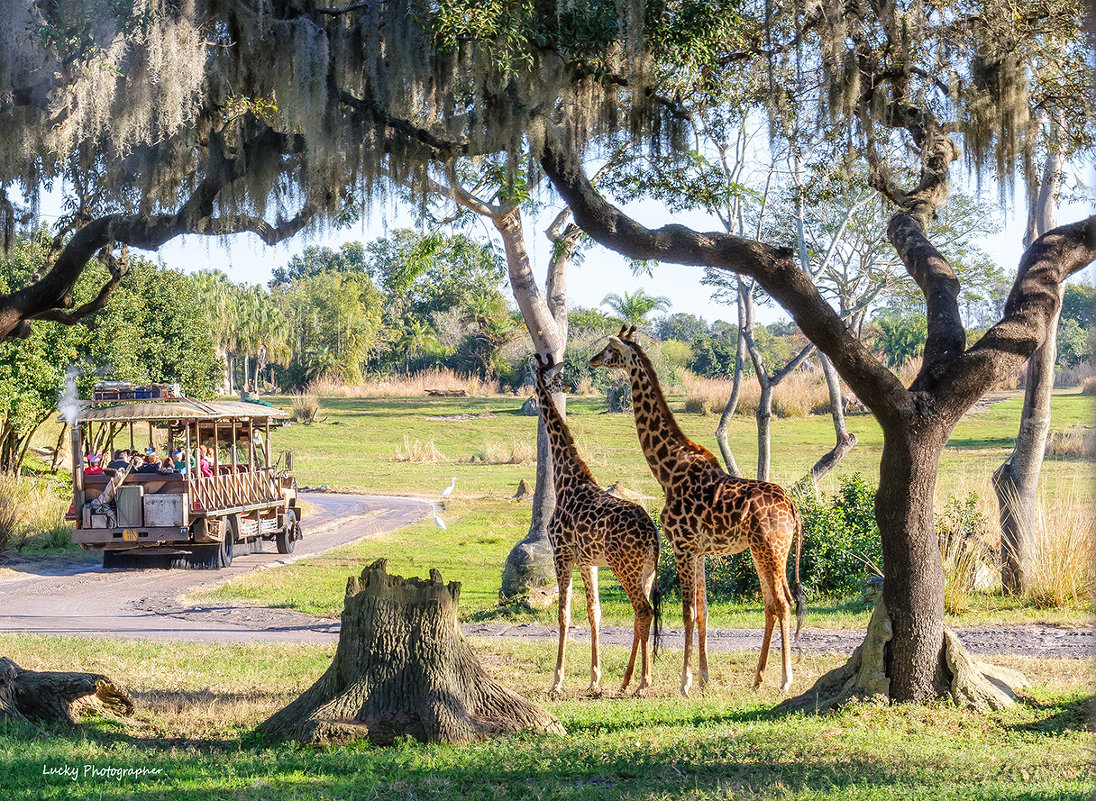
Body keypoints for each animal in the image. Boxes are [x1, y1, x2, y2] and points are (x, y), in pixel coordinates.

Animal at [530, 350, 657, 696]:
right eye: (557, 376)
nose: (566, 386)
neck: (566, 478)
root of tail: (654, 536)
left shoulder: (562, 553)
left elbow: (563, 613)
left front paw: (557, 681)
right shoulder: (588, 561)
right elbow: (594, 613)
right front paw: (595, 678)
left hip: (625, 567)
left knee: (643, 611)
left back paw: (640, 682)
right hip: (647, 572)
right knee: (644, 614)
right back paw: (633, 680)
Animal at [591, 326, 806, 696]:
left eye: (610, 350)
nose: (591, 360)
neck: (666, 470)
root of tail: (792, 507)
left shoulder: (682, 545)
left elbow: (687, 611)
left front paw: (686, 681)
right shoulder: (700, 550)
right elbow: (703, 611)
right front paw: (704, 679)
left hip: (771, 548)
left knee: (783, 603)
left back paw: (784, 680)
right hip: (763, 550)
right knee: (771, 604)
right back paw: (758, 678)